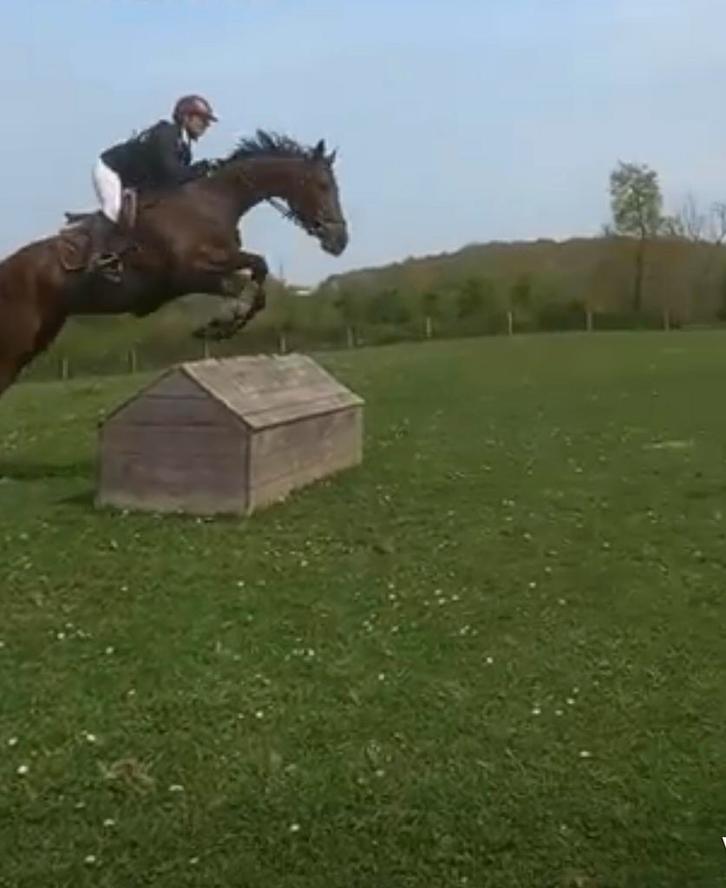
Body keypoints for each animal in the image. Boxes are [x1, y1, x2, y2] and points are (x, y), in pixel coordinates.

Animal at [0, 130, 348, 399]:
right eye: (322, 185)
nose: (340, 240)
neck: (212, 202)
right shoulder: (187, 273)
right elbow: (243, 281)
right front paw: (222, 322)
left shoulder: (211, 268)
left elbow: (256, 276)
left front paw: (219, 327)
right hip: (17, 338)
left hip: (40, 335)